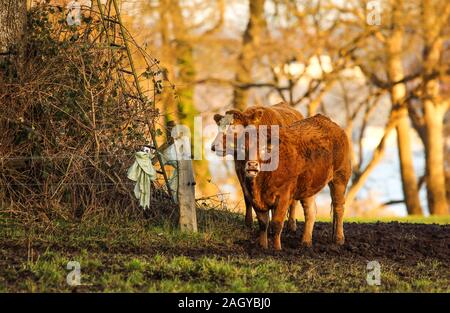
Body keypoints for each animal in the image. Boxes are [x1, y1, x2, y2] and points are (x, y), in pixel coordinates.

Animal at [243, 113, 352, 250]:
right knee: (311, 211)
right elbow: (263, 224)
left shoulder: (283, 196)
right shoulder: (255, 200)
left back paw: (339, 238)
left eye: (263, 149)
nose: (252, 165)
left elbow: (276, 223)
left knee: (339, 207)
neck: (260, 185)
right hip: (308, 186)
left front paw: (277, 249)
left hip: (340, 177)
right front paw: (263, 247)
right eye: (244, 149)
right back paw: (306, 241)